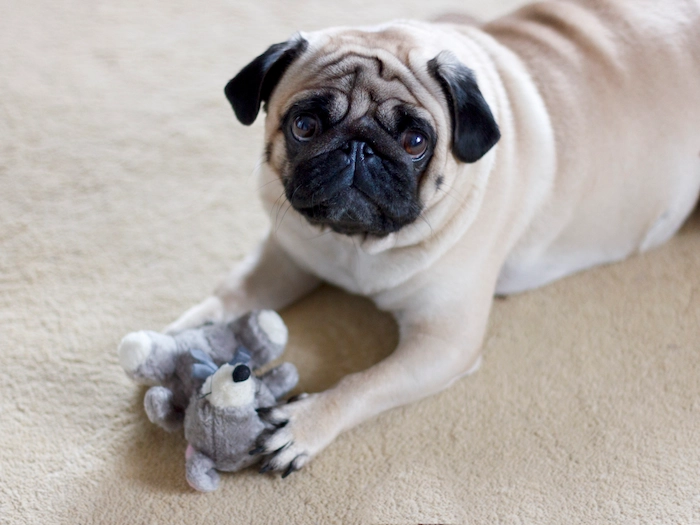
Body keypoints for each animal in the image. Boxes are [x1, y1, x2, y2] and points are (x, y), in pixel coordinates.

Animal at [165, 0, 700, 474]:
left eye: (415, 142)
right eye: (304, 125)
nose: (359, 149)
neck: (354, 244)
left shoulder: (444, 342)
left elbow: (364, 383)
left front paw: (305, 424)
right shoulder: (288, 256)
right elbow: (233, 294)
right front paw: (184, 333)